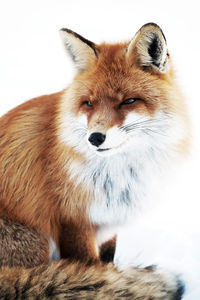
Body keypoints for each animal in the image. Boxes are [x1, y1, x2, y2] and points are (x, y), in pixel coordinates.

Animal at [0, 24, 188, 300]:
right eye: (88, 103)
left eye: (128, 101)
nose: (95, 138)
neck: (119, 174)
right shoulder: (73, 222)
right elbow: (91, 267)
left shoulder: (109, 224)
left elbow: (108, 263)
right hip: (37, 241)